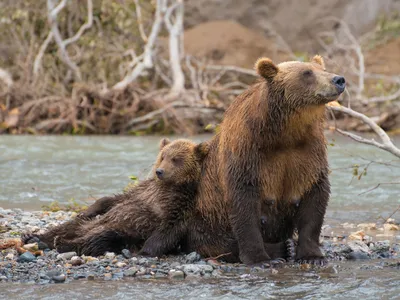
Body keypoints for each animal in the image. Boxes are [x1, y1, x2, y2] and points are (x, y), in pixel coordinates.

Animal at [21, 137, 209, 256]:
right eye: (163, 156)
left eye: (176, 159)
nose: (159, 171)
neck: (170, 185)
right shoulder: (143, 189)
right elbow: (116, 199)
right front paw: (90, 208)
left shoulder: (181, 202)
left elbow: (169, 228)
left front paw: (145, 251)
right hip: (91, 223)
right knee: (68, 225)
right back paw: (35, 237)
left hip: (123, 231)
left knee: (98, 239)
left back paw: (63, 243)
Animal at [180, 55, 344, 264]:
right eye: (307, 73)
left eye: (322, 69)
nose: (338, 79)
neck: (285, 132)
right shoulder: (247, 152)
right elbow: (244, 201)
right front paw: (259, 259)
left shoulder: (308, 153)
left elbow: (314, 197)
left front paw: (312, 256)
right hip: (206, 220)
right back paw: (279, 249)